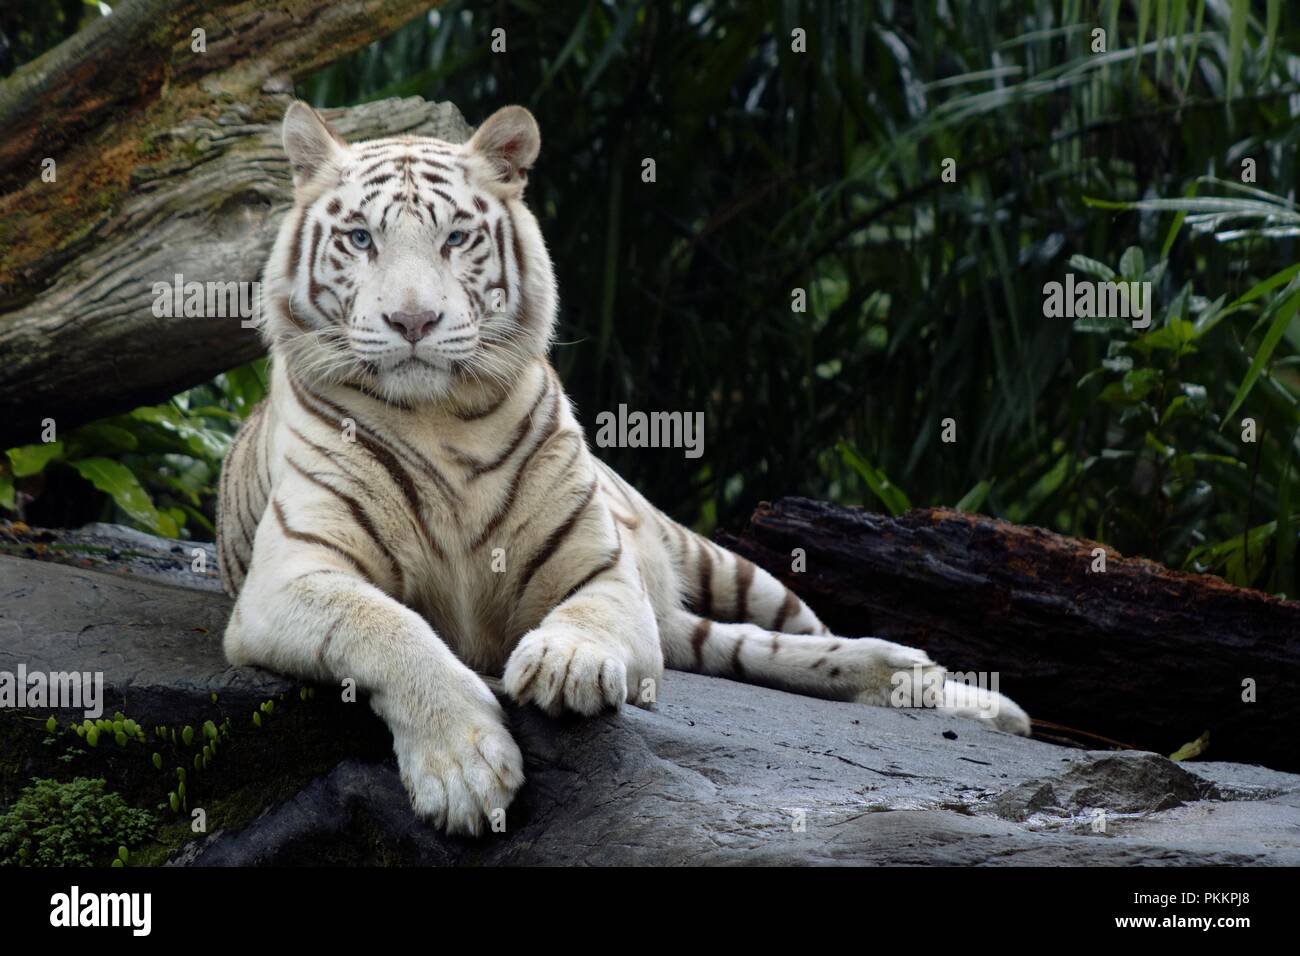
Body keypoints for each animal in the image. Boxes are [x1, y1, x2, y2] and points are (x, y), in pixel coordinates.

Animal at [216, 101, 1030, 837]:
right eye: (360, 239)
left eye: (456, 238)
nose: (412, 322)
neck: (440, 419)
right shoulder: (293, 576)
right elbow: (391, 629)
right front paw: (464, 770)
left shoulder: (603, 569)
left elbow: (590, 615)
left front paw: (566, 664)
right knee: (730, 647)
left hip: (721, 564)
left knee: (790, 630)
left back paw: (960, 691)